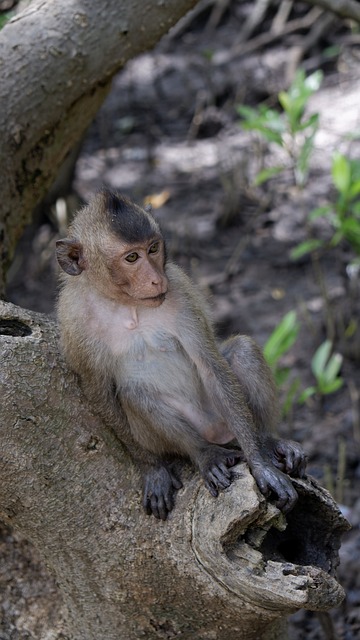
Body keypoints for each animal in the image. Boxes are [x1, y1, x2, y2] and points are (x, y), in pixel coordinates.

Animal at [56, 189, 306, 520]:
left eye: (152, 249)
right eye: (131, 257)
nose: (156, 279)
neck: (126, 304)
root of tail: (214, 432)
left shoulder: (180, 293)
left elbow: (210, 364)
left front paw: (261, 464)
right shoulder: (74, 323)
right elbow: (99, 392)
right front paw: (152, 468)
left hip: (221, 417)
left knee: (242, 352)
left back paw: (268, 441)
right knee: (135, 394)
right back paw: (205, 455)